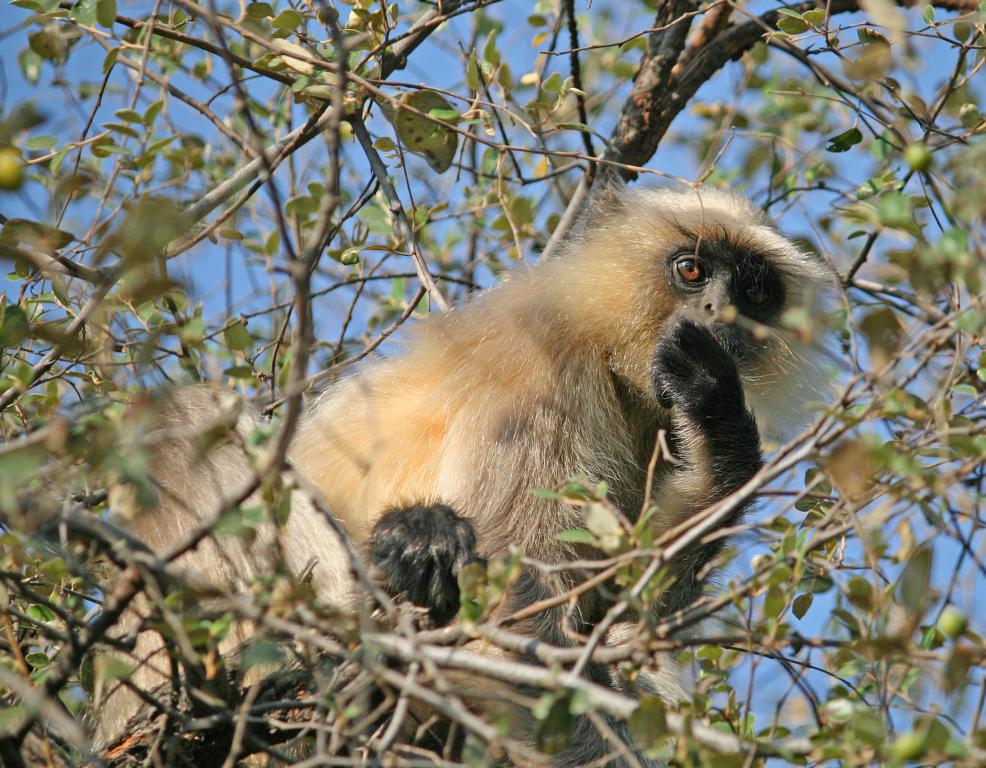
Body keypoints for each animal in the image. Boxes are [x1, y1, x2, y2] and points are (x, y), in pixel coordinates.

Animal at [92, 183, 832, 764]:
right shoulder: (536, 373)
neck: (601, 347)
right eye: (691, 270)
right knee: (186, 413)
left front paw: (719, 421)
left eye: (755, 293)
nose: (720, 315)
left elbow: (613, 616)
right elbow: (516, 626)